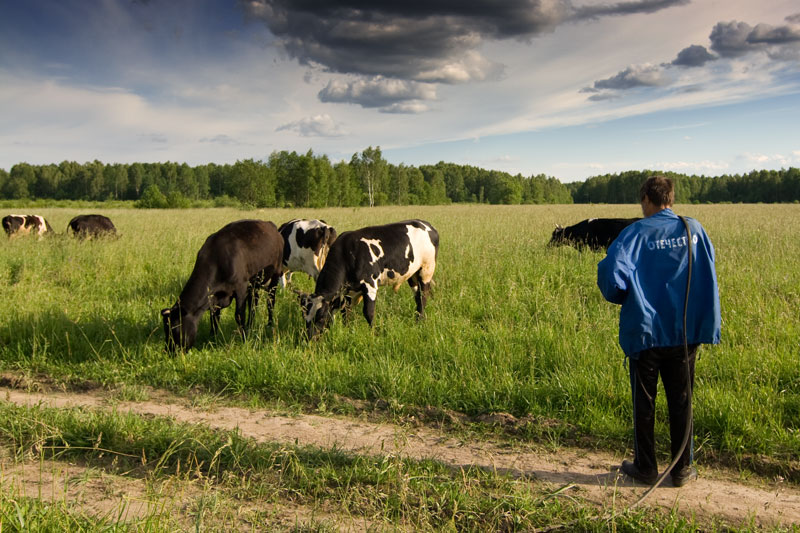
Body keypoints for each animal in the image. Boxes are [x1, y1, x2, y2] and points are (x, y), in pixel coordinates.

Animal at [160, 218, 284, 352]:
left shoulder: (241, 287)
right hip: (254, 283)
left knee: (270, 301)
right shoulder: (214, 297)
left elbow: (239, 315)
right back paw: (250, 325)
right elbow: (214, 318)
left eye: (175, 330)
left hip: (275, 274)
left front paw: (245, 340)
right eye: (165, 330)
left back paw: (269, 324)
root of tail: (270, 224)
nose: (169, 351)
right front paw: (212, 339)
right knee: (253, 304)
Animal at [296, 219, 440, 336]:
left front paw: (373, 333)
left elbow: (368, 312)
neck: (347, 254)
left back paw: (419, 321)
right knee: (417, 297)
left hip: (426, 270)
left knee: (422, 297)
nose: (310, 338)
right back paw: (418, 319)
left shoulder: (370, 284)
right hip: (413, 274)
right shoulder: (349, 290)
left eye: (321, 317)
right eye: (304, 317)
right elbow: (346, 311)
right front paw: (348, 330)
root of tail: (427, 225)